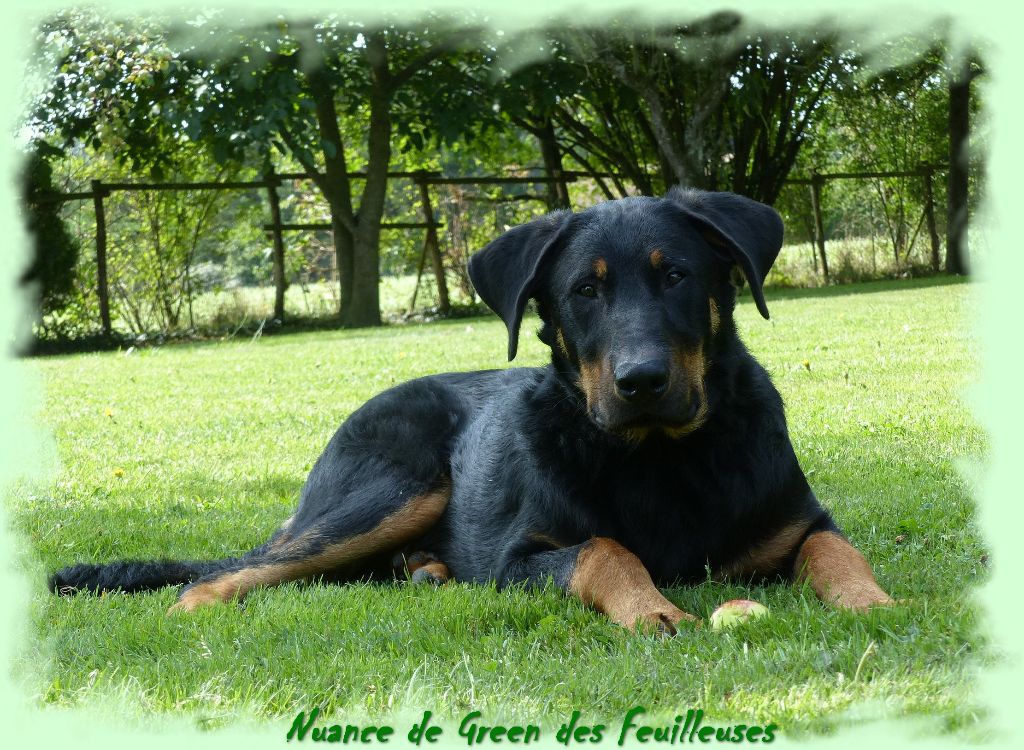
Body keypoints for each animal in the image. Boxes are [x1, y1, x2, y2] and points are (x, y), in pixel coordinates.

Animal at [49, 188, 893, 632]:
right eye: (584, 291)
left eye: (678, 275)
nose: (642, 381)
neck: (661, 454)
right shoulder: (518, 558)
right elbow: (605, 549)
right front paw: (654, 609)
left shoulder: (797, 520)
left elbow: (837, 551)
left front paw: (871, 600)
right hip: (395, 488)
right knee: (235, 572)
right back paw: (195, 611)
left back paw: (427, 573)